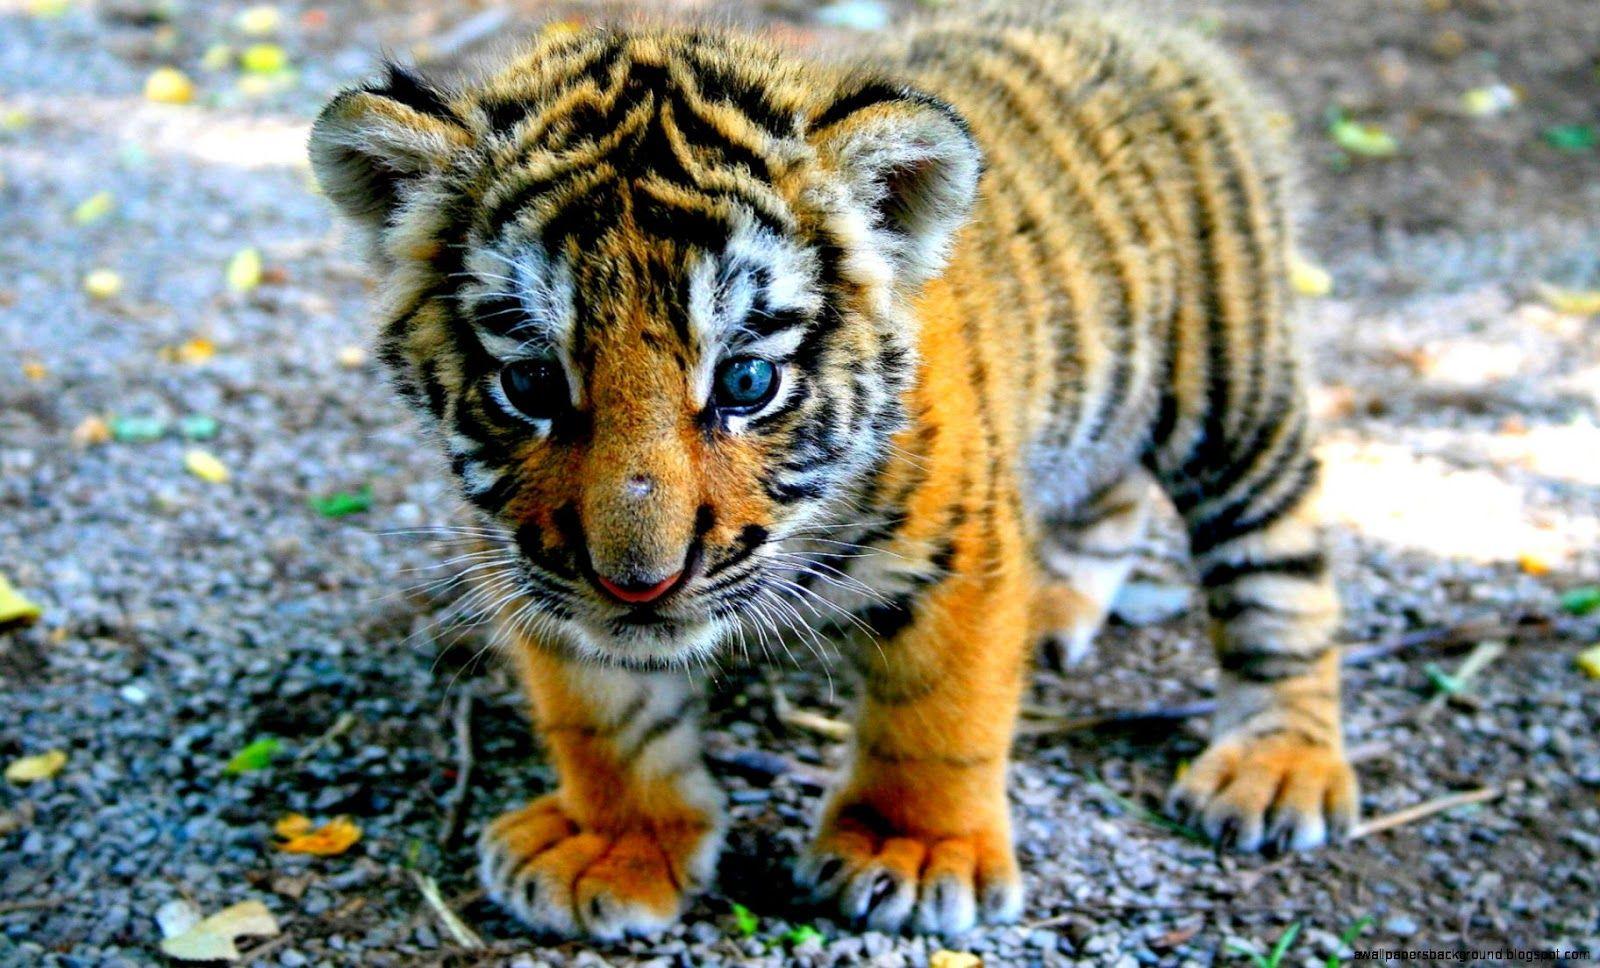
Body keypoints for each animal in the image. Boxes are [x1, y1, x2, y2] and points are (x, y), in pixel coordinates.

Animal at [308, 3, 1358, 940]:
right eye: (529, 382)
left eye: (747, 380)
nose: (639, 584)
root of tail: (1144, 29)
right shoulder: (530, 560)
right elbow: (604, 716)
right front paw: (616, 842)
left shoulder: (959, 549)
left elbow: (939, 713)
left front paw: (915, 852)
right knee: (1110, 496)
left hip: (1232, 394)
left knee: (1281, 572)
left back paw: (1278, 765)